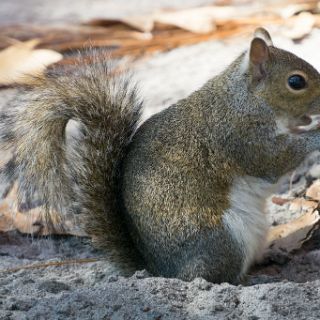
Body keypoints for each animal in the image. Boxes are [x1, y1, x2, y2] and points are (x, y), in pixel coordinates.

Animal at [0, 27, 320, 282]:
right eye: (296, 82)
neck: (247, 98)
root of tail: (162, 271)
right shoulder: (240, 136)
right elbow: (273, 159)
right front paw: (315, 133)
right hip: (222, 239)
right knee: (211, 277)